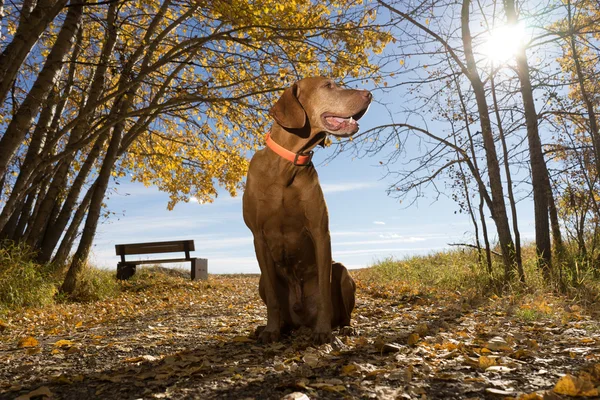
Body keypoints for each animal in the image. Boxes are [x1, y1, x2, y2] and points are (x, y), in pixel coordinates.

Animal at [243, 76, 370, 344]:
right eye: (328, 85)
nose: (369, 94)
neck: (287, 165)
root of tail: (301, 321)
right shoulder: (258, 237)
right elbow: (273, 298)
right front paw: (270, 330)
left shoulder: (320, 231)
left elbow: (323, 290)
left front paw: (323, 331)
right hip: (261, 280)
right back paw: (271, 327)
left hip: (343, 272)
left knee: (343, 312)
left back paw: (345, 328)